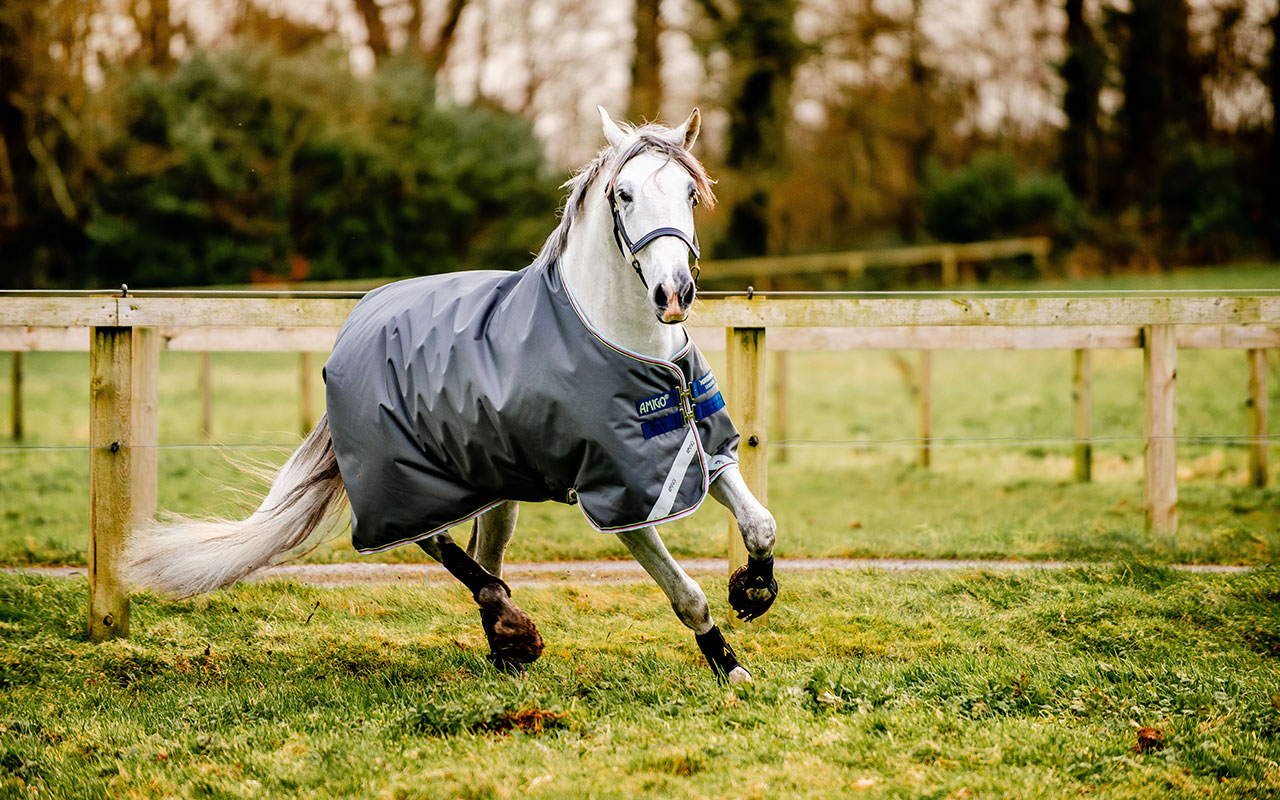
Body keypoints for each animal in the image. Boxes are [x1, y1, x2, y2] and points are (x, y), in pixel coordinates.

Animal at [127, 104, 778, 680]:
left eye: (690, 194)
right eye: (625, 194)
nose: (674, 293)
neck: (624, 344)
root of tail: (355, 325)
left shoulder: (696, 450)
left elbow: (760, 524)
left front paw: (754, 588)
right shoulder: (619, 495)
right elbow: (685, 593)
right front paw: (729, 666)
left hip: (490, 475)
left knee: (482, 549)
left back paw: (504, 647)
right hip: (405, 478)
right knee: (441, 543)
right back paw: (515, 629)